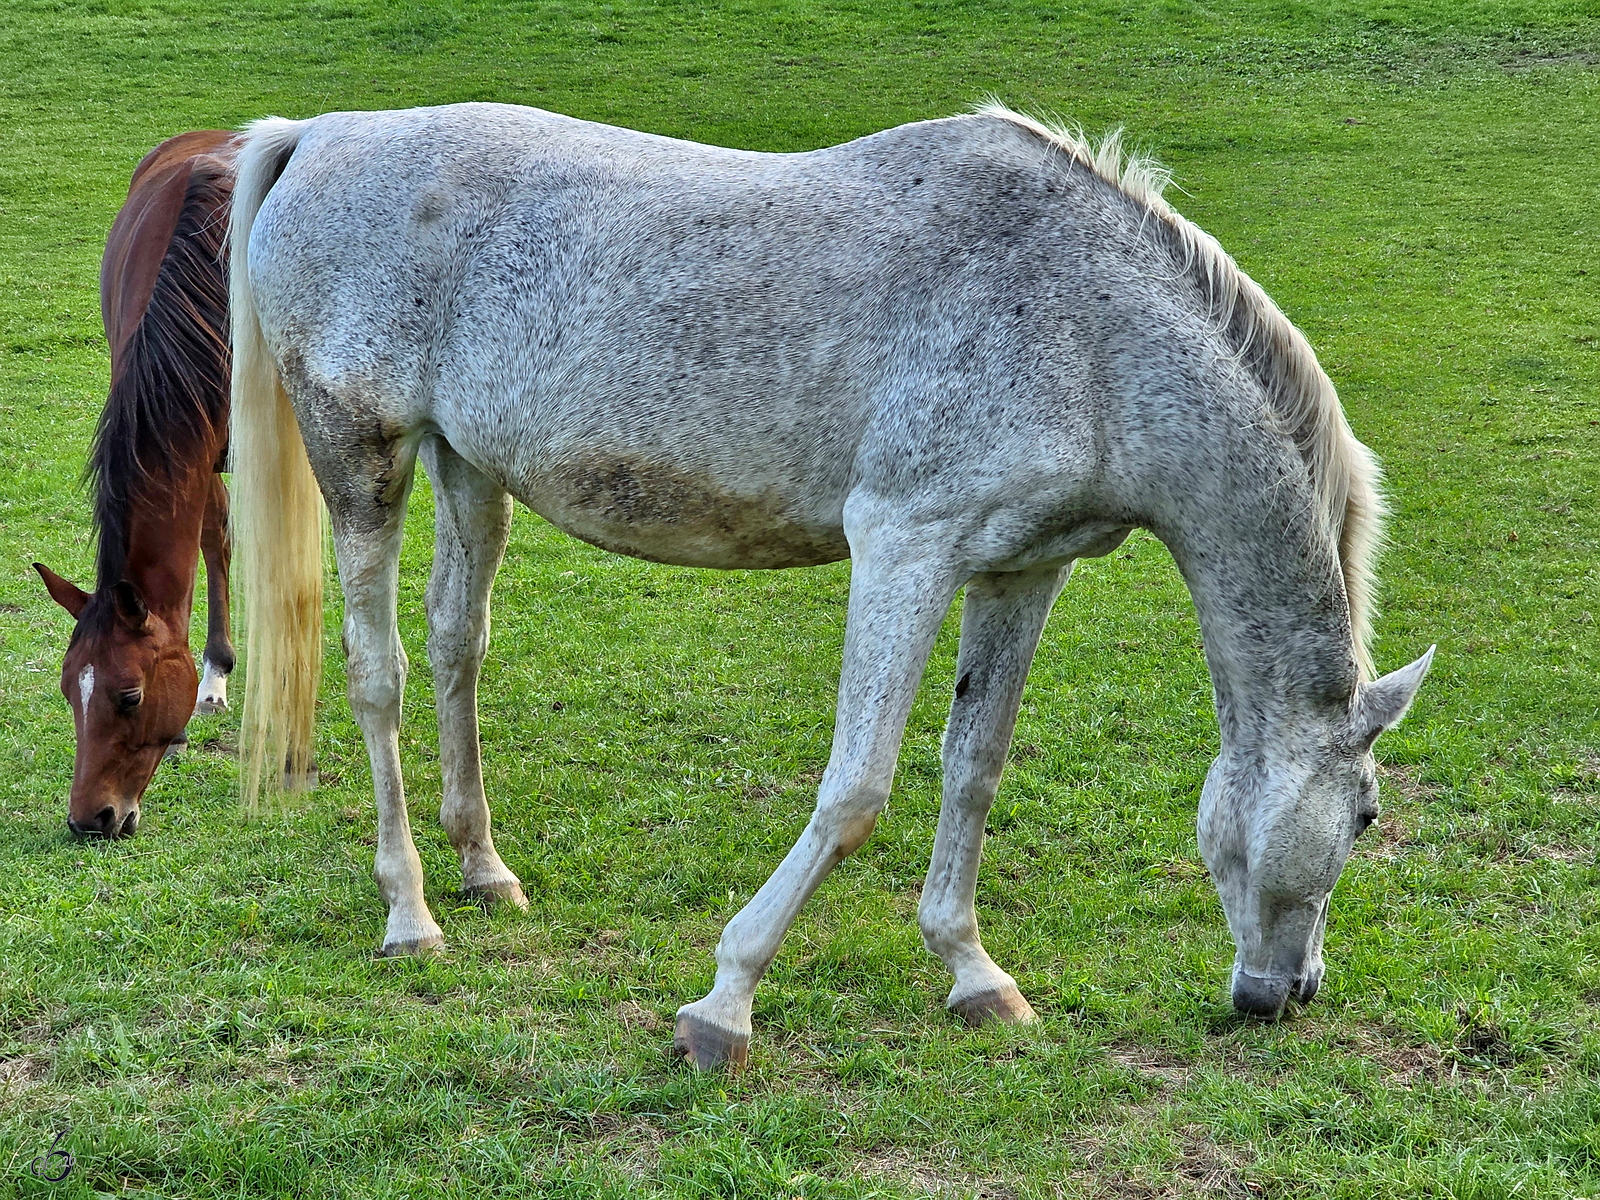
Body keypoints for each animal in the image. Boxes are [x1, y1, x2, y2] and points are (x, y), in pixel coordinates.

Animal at [34, 130, 239, 838]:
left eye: (129, 696)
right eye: (69, 689)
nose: (90, 819)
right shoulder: (199, 447)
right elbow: (214, 542)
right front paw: (212, 676)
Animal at [225, 101, 1434, 1068]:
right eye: (1367, 814)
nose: (1285, 995)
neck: (1091, 331)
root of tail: (320, 134)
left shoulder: (1021, 568)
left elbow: (973, 768)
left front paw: (973, 971)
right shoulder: (905, 545)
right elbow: (856, 789)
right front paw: (724, 1005)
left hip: (467, 466)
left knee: (454, 646)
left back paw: (483, 870)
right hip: (363, 462)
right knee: (375, 674)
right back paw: (411, 912)